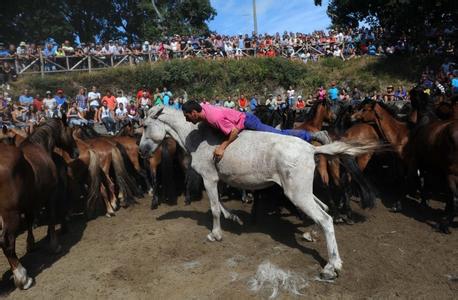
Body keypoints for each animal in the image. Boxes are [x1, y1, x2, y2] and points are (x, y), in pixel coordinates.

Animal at [0, 116, 78, 288]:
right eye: (70, 131)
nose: (76, 152)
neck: (39, 147)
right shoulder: (50, 194)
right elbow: (51, 217)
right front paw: (54, 245)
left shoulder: (29, 202)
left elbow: (30, 222)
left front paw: (31, 244)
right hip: (10, 215)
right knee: (6, 242)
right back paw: (22, 277)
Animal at [140, 105, 380, 278]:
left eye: (144, 126)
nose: (142, 151)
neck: (196, 138)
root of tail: (312, 149)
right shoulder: (216, 180)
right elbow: (220, 205)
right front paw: (234, 218)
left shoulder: (209, 178)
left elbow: (215, 208)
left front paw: (215, 234)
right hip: (301, 192)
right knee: (324, 209)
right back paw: (310, 234)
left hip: (297, 195)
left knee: (326, 219)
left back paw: (331, 267)